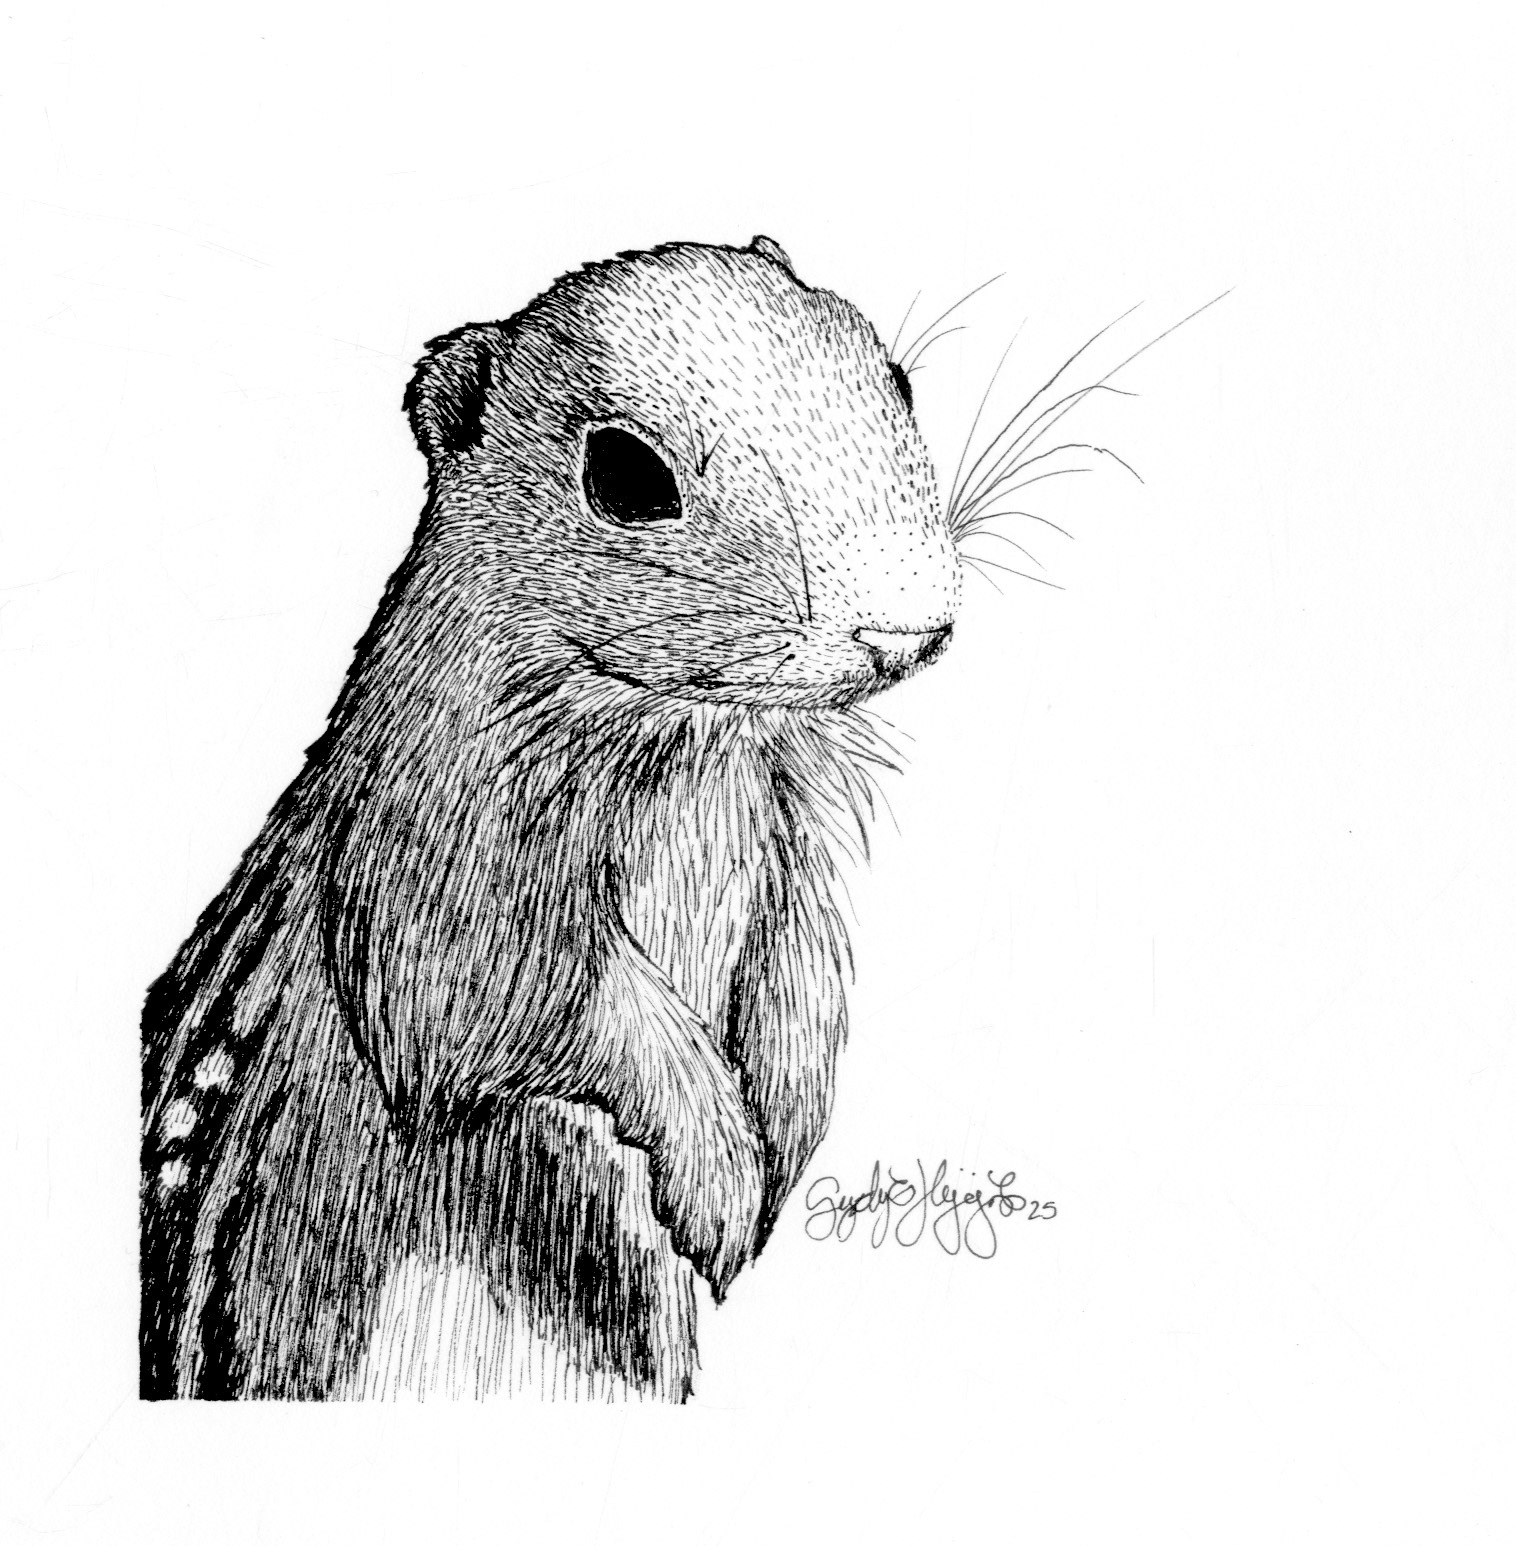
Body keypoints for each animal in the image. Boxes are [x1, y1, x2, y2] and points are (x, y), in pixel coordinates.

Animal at [139, 235, 960, 1400]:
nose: (904, 629)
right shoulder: (433, 858)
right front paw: (718, 1177)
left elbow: (802, 976)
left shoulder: (789, 849)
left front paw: (777, 1150)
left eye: (897, 378)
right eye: (624, 476)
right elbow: (522, 994)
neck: (690, 749)